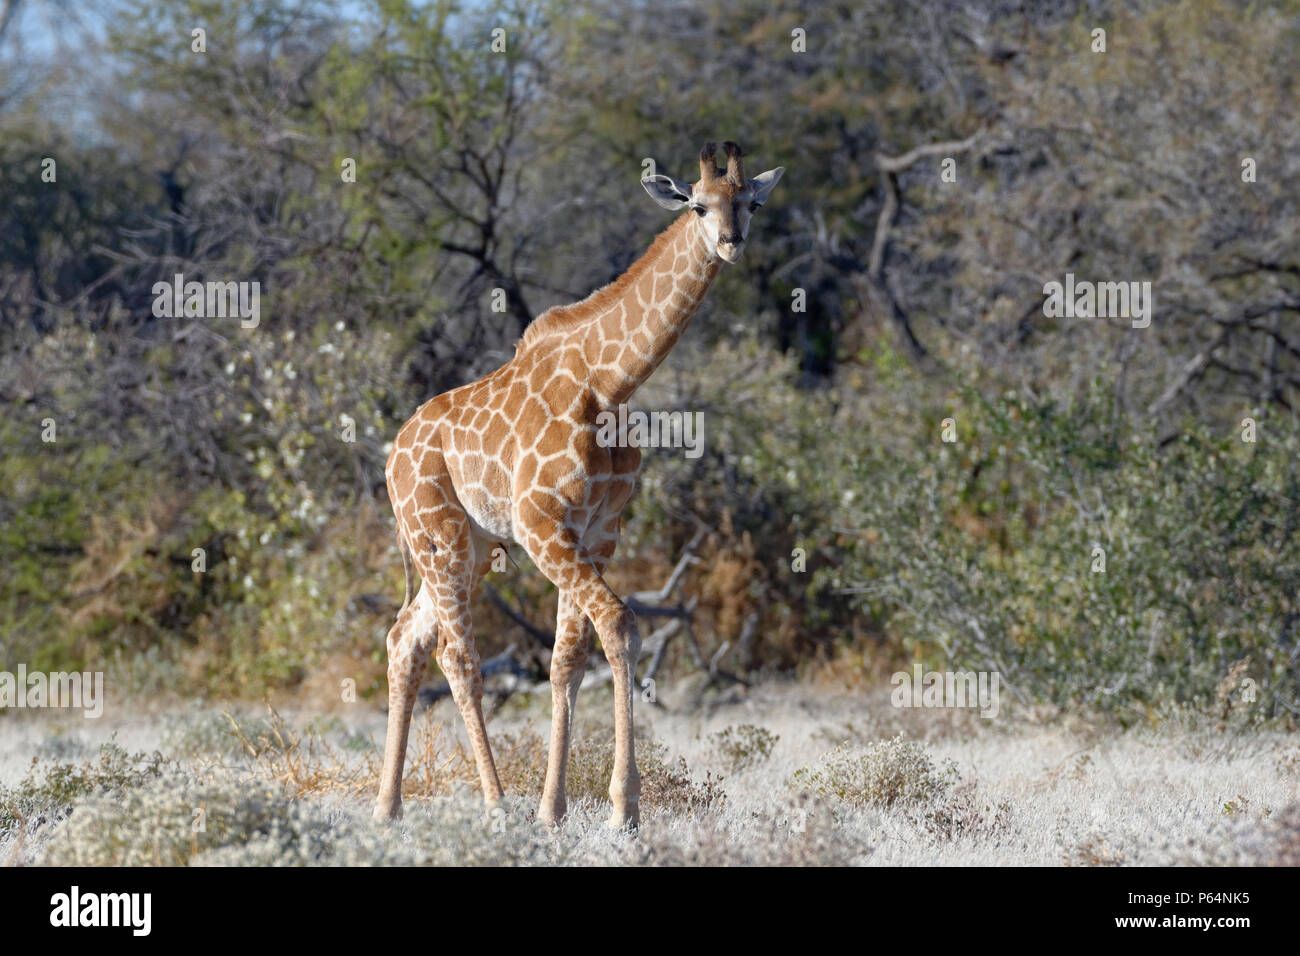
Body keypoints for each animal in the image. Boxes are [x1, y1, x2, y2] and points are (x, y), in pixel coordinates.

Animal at [371, 140, 785, 832]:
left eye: (751, 202)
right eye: (699, 205)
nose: (732, 242)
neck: (610, 383)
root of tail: (391, 455)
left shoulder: (596, 532)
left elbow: (567, 661)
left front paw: (554, 810)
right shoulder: (541, 523)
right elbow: (620, 626)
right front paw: (622, 809)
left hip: (470, 547)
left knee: (406, 638)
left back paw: (386, 809)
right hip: (441, 536)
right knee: (459, 658)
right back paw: (493, 804)